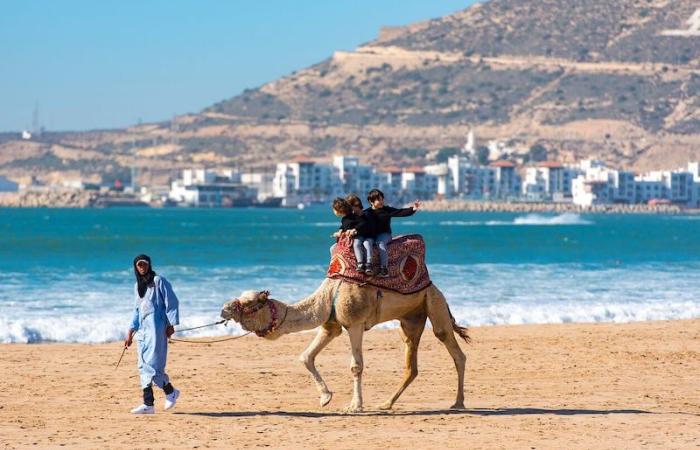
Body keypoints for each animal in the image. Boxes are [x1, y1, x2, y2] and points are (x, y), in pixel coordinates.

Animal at [220, 276, 470, 414]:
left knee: (453, 348)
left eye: (249, 304)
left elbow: (356, 366)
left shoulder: (355, 323)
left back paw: (458, 403)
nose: (224, 309)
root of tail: (435, 286)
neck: (328, 295)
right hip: (410, 319)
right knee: (412, 364)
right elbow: (306, 356)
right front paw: (325, 397)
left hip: (434, 302)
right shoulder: (330, 325)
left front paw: (354, 406)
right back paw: (386, 404)